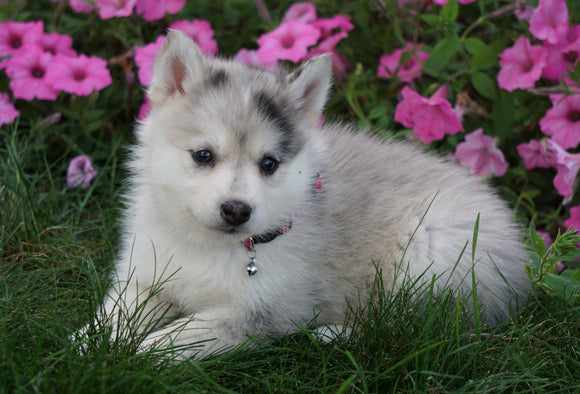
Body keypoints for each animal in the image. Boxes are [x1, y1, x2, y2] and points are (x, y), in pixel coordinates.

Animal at [89, 30, 532, 358]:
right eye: (203, 155)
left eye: (269, 164)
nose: (236, 210)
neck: (210, 244)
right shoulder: (145, 276)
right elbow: (114, 315)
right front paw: (90, 348)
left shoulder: (265, 310)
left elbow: (190, 332)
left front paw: (144, 351)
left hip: (434, 248)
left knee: (409, 326)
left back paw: (329, 335)